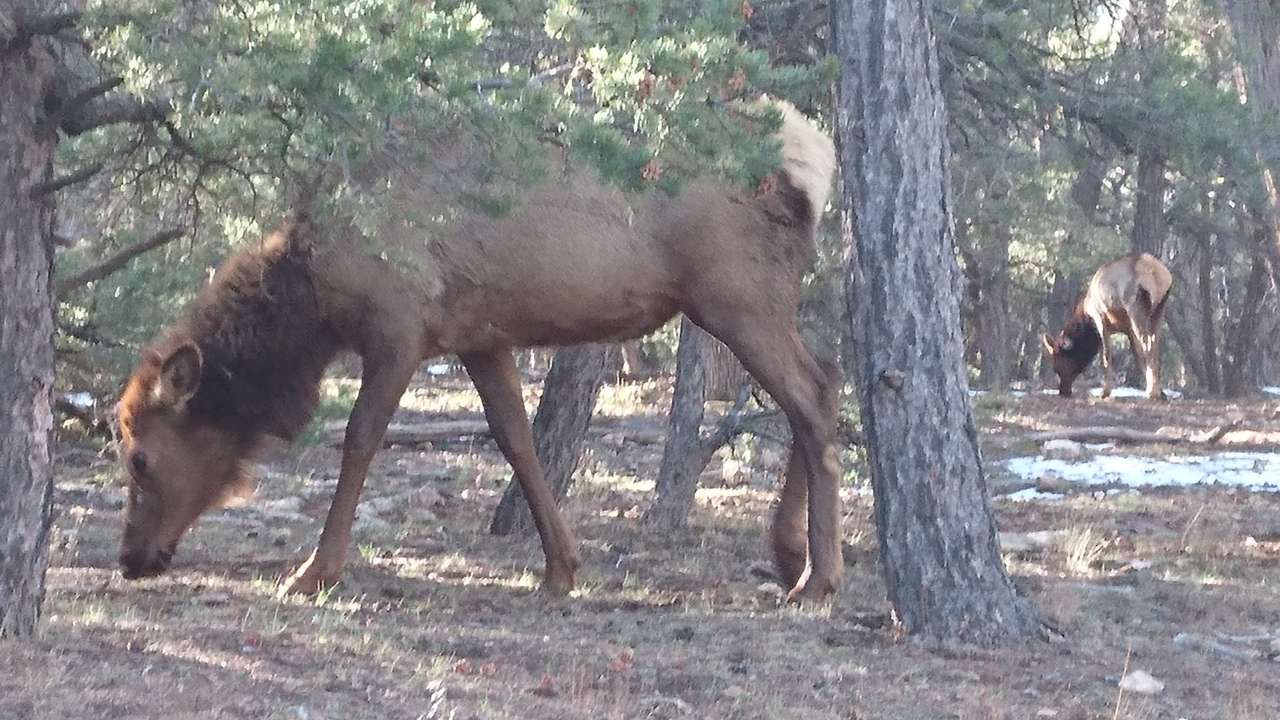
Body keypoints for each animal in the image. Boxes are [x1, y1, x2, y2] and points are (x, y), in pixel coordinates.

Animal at [115, 99, 844, 599]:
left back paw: (817, 577)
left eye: (140, 458)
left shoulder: (401, 324)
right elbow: (514, 438)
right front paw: (560, 568)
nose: (129, 559)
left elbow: (360, 437)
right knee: (826, 379)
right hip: (755, 303)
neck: (316, 298)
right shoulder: (479, 338)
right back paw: (788, 556)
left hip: (735, 297)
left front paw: (315, 570)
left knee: (809, 397)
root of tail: (808, 153)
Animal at [1039, 251, 1172, 397]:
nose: (1063, 391)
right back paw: (1156, 391)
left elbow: (1106, 355)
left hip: (1135, 307)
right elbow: (1137, 355)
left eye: (1056, 365)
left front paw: (1105, 391)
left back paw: (1152, 392)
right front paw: (1160, 391)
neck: (1086, 317)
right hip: (1159, 309)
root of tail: (1154, 271)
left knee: (1148, 345)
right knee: (1154, 345)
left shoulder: (1099, 317)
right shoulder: (1128, 329)